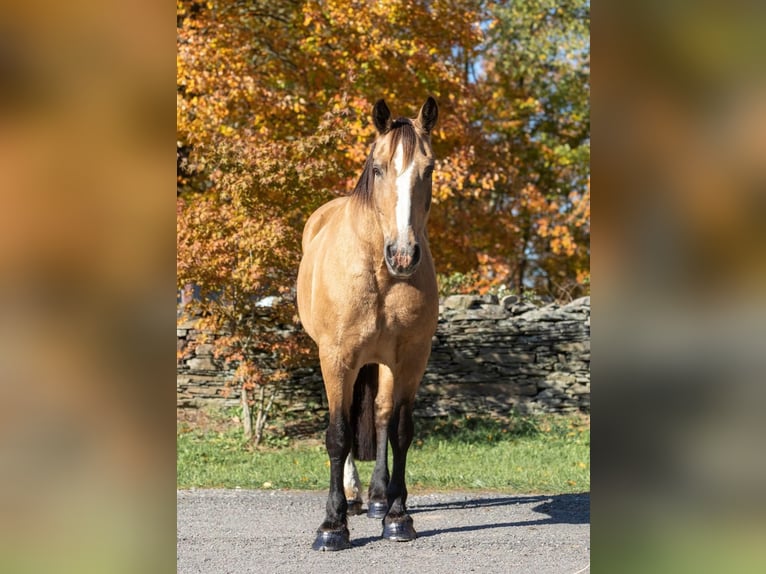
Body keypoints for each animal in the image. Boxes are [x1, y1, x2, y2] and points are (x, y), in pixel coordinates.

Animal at [296, 99, 440, 552]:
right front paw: (332, 525)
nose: (403, 255)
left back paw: (378, 499)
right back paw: (354, 496)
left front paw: (397, 517)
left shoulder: (411, 359)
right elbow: (338, 433)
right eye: (378, 169)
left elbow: (399, 430)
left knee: (379, 416)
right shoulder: (337, 357)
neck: (379, 272)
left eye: (429, 169)